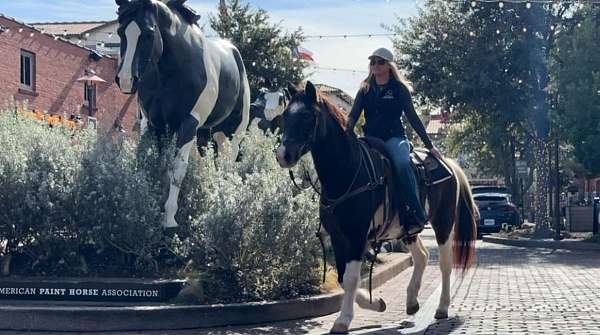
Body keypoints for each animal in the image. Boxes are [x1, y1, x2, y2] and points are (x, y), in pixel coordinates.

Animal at [276, 82, 478, 335]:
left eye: (306, 116)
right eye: (285, 115)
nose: (282, 155)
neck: (348, 172)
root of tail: (447, 162)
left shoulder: (356, 235)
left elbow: (351, 278)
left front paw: (343, 320)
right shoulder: (338, 236)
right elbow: (342, 277)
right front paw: (377, 303)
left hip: (443, 223)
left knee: (445, 264)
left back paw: (441, 307)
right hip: (408, 229)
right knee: (421, 257)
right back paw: (412, 302)